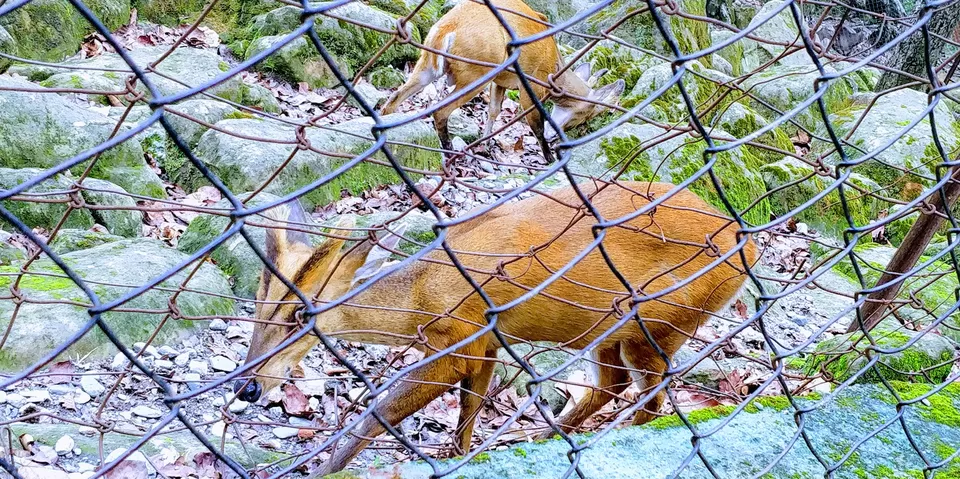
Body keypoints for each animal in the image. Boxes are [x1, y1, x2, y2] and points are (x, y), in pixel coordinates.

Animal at [233, 181, 756, 476]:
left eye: (299, 316)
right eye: (257, 304)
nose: (247, 387)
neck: (419, 300)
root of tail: (747, 243)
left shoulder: (458, 340)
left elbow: (379, 413)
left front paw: (322, 469)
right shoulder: (488, 341)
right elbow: (469, 410)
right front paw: (458, 456)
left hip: (661, 322)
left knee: (651, 396)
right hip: (611, 330)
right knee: (615, 383)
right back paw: (544, 439)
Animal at [379, 0, 625, 160]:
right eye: (585, 116)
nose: (557, 135)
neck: (556, 69)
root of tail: (447, 28)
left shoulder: (500, 81)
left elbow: (494, 111)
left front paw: (486, 145)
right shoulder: (531, 85)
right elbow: (535, 124)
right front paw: (549, 157)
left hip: (428, 66)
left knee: (394, 98)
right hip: (476, 74)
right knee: (440, 110)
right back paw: (449, 151)